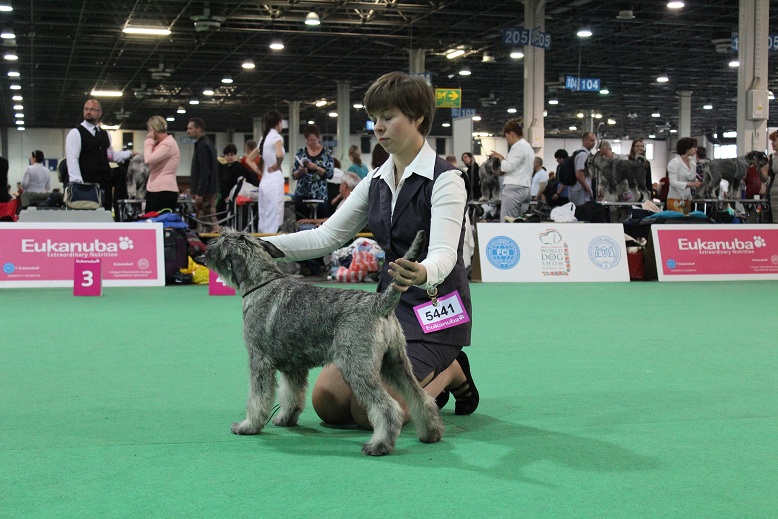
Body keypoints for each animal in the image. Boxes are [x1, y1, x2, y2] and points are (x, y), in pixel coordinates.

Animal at [205, 228, 444, 456]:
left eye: (220, 241)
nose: (204, 251)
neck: (261, 283)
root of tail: (379, 304)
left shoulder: (259, 362)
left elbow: (257, 399)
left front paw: (248, 426)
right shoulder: (294, 368)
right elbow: (291, 396)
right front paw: (285, 419)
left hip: (358, 369)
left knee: (388, 407)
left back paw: (378, 444)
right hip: (396, 364)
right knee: (421, 397)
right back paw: (430, 432)